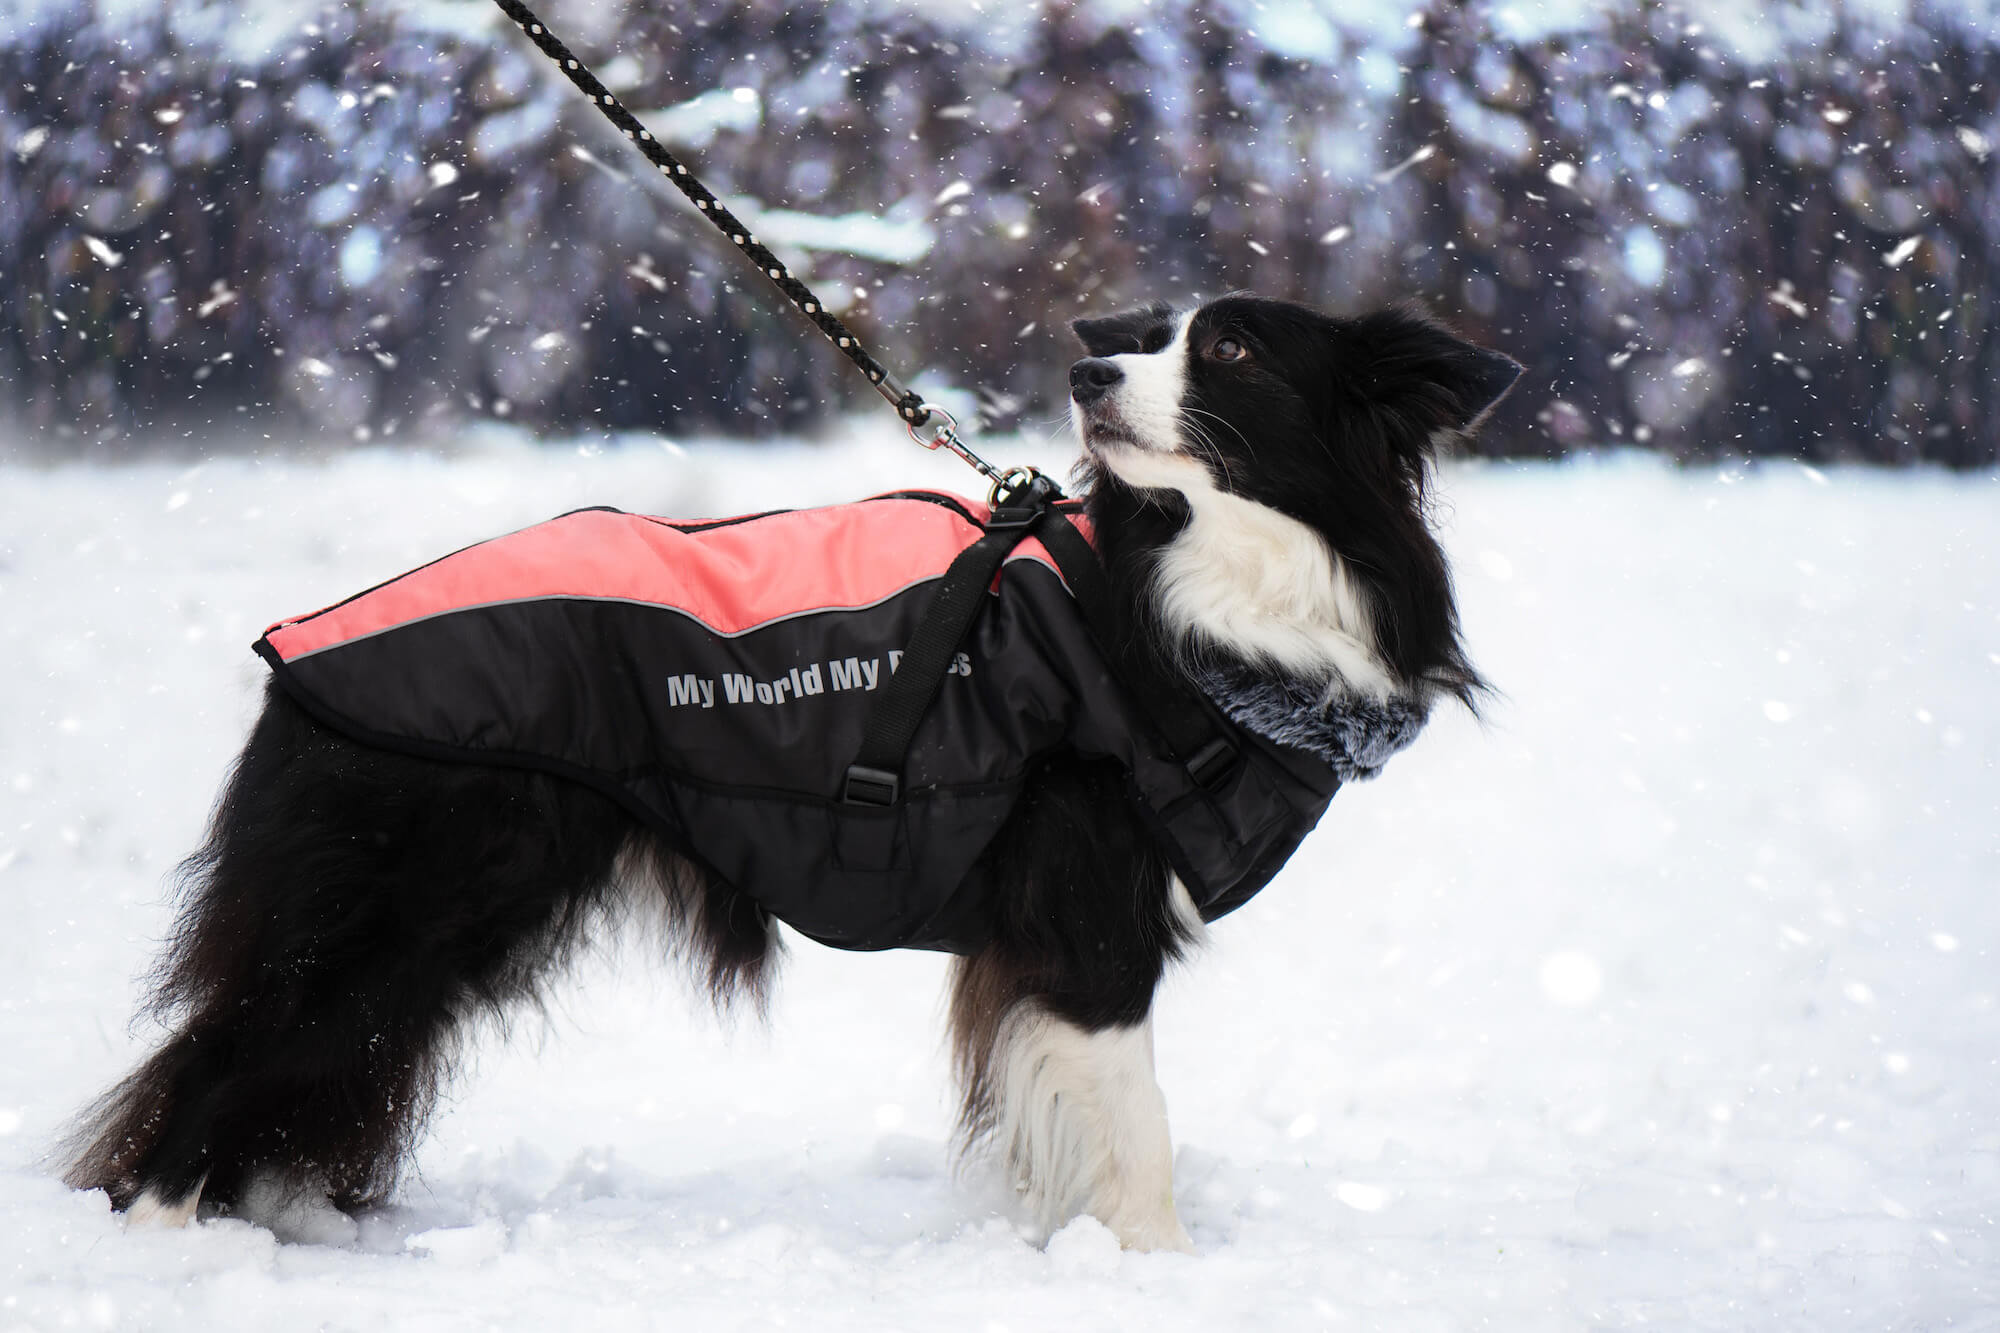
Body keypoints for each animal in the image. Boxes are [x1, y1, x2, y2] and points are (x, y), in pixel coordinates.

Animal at [62, 290, 1512, 1248]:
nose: (1087, 373)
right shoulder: (1088, 917)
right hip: (402, 908)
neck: (1188, 595)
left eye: (1227, 347)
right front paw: (1153, 1268)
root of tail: (296, 653)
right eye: (1150, 336)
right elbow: (1136, 1122)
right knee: (218, 1071)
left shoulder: (1032, 947)